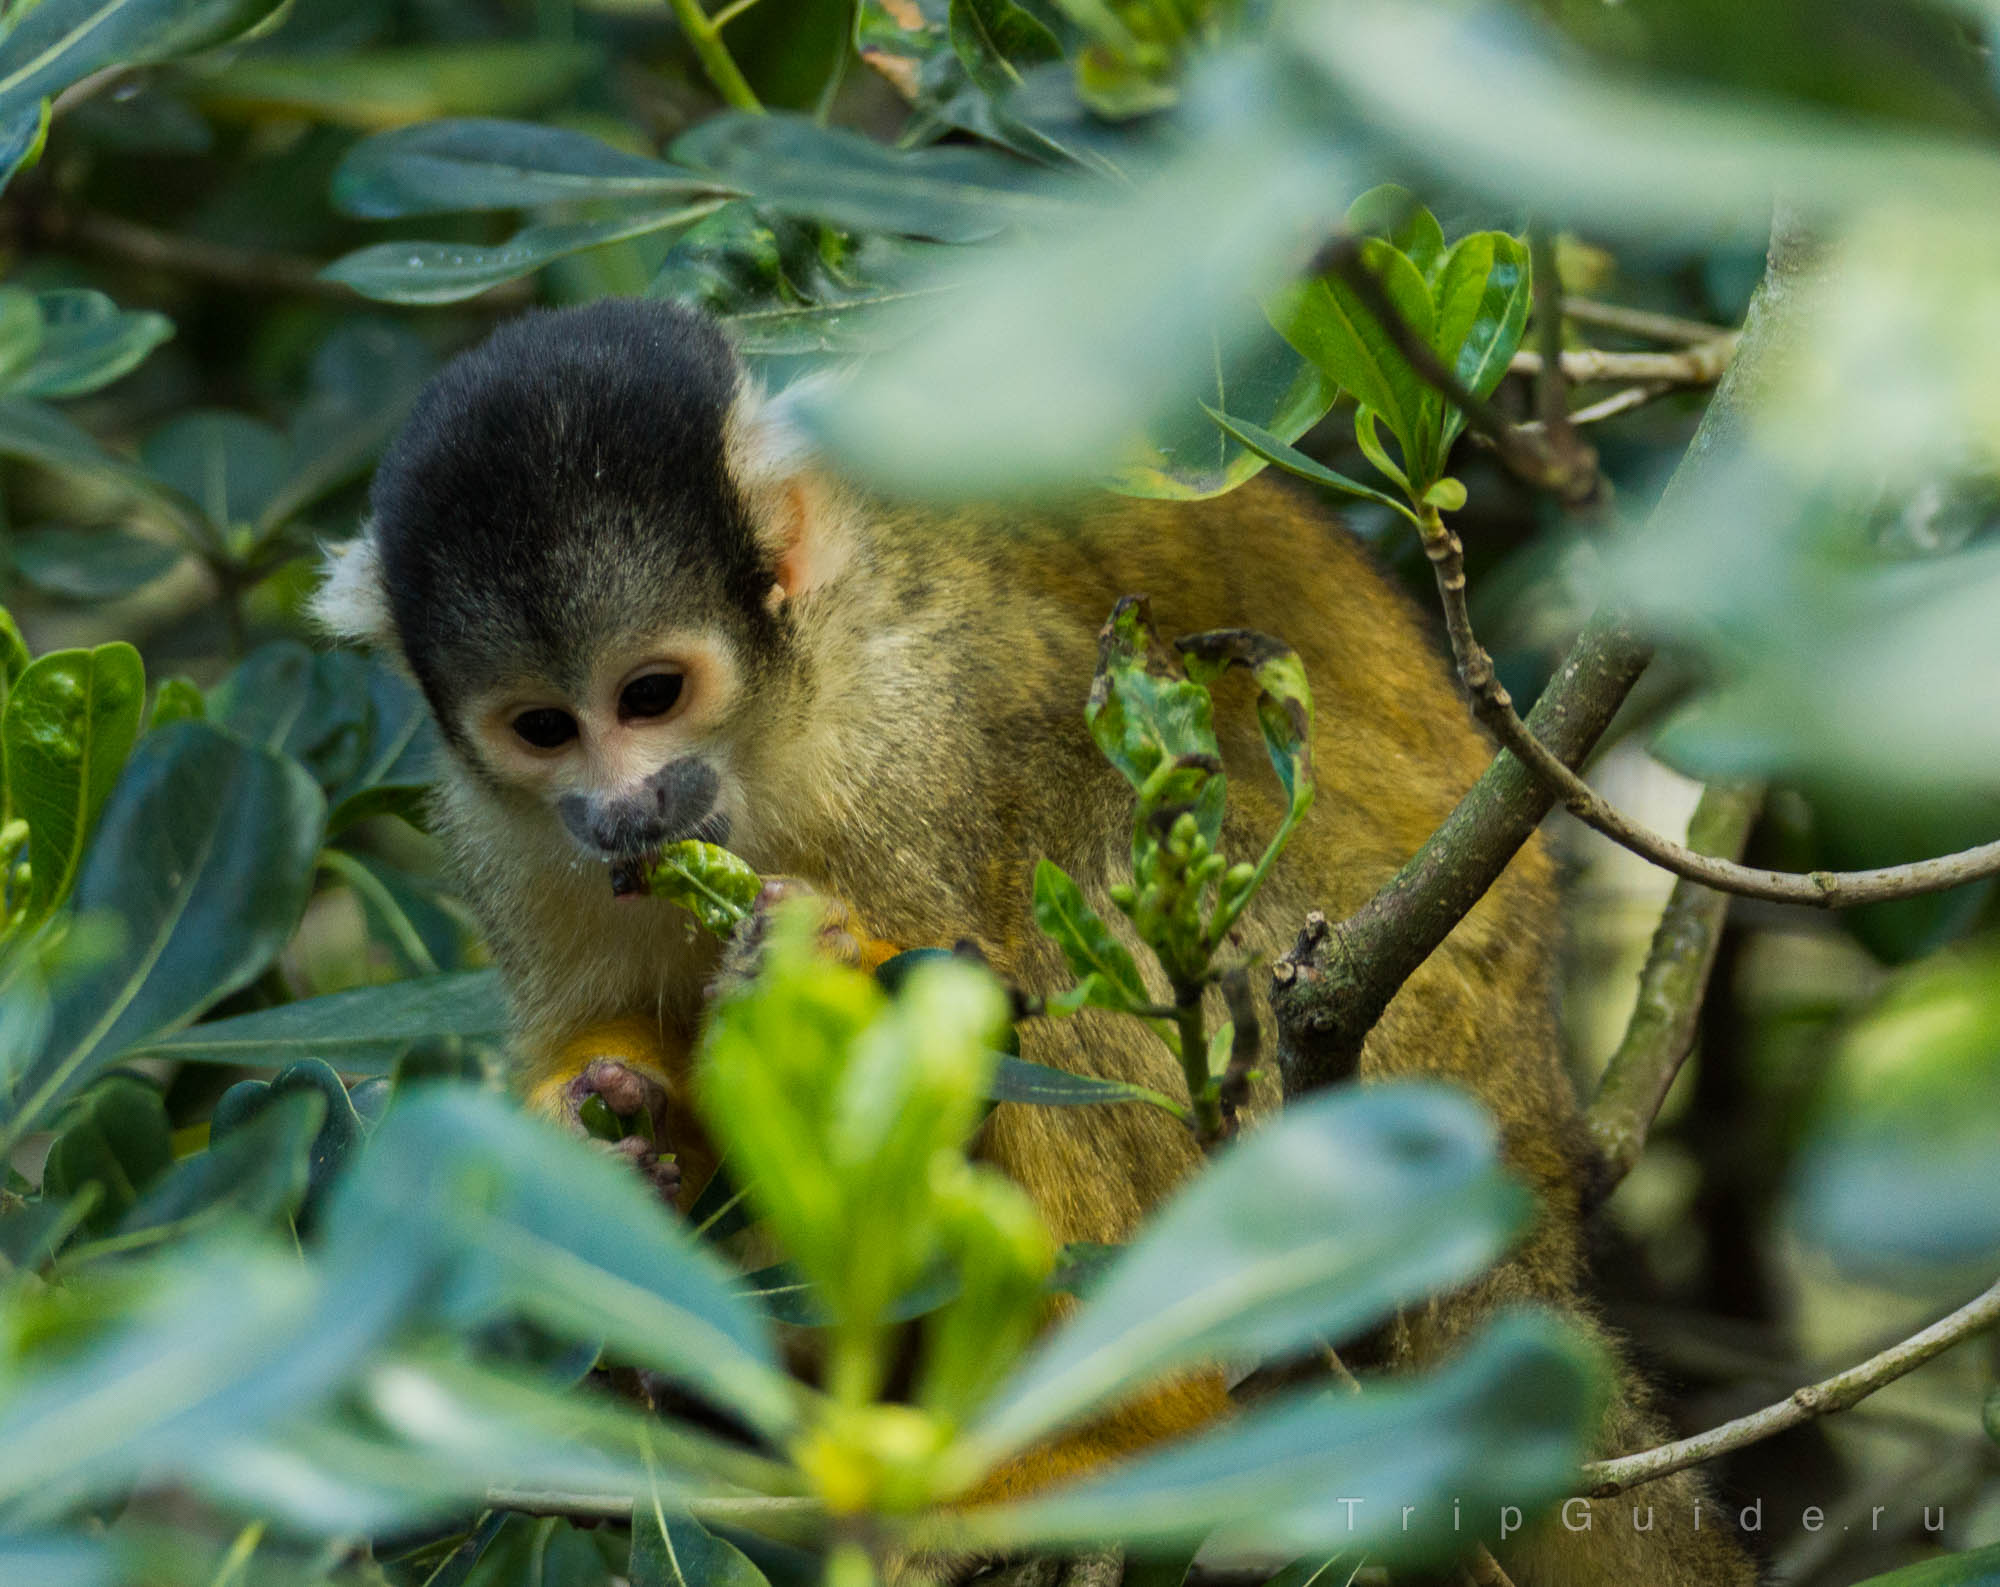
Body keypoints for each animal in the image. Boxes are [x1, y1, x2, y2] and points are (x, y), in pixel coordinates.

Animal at [313, 297, 1756, 1587]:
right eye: (544, 728)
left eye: (652, 693)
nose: (623, 808)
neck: (784, 721)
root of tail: (1529, 1119)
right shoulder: (506, 836)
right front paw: (606, 1116)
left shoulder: (928, 720)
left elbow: (983, 956)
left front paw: (804, 974)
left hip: (1384, 1046)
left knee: (1100, 827)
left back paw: (1112, 1432)